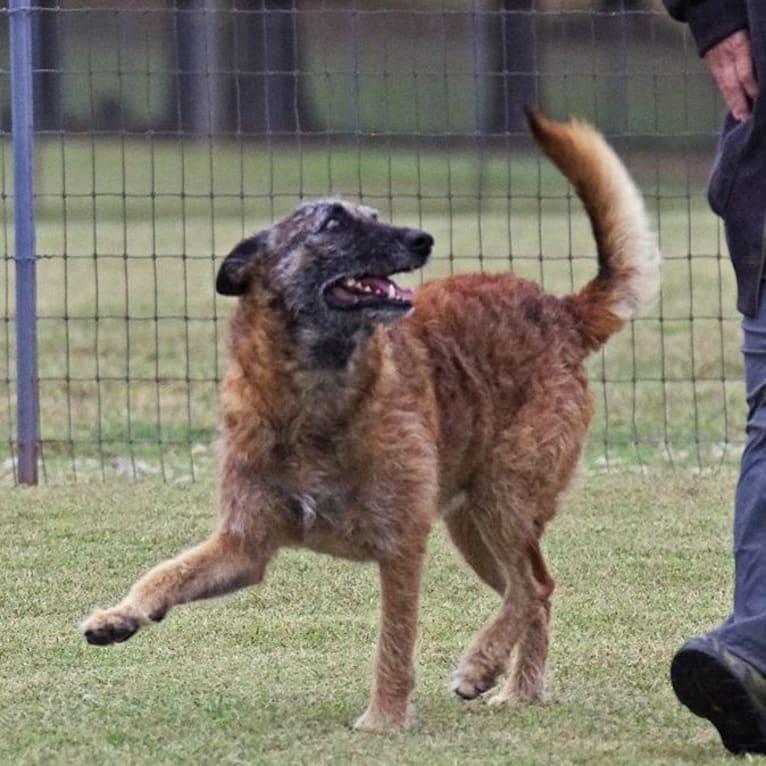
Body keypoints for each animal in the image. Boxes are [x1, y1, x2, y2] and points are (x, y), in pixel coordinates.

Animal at [82, 112, 660, 732]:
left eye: (377, 218)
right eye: (334, 221)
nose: (422, 239)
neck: (310, 400)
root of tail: (561, 311)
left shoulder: (401, 544)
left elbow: (394, 642)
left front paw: (383, 720)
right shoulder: (244, 546)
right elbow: (164, 572)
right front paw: (120, 615)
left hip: (503, 498)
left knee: (533, 587)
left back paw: (481, 665)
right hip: (473, 524)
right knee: (533, 592)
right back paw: (518, 689)